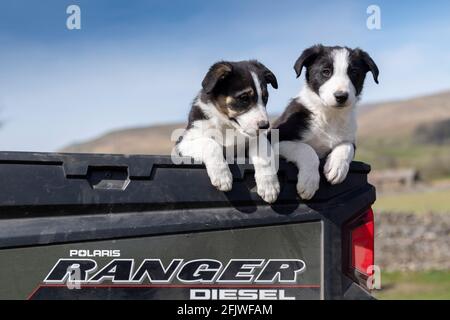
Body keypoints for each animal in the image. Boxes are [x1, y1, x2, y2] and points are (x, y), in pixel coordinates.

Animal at [178, 60, 280, 202]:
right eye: (244, 98)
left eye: (265, 98)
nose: (265, 125)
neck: (228, 126)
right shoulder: (183, 143)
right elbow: (210, 143)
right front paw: (222, 176)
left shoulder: (256, 138)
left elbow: (264, 156)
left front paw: (269, 186)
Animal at [272, 45, 378, 200]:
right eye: (326, 72)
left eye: (353, 72)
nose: (341, 96)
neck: (329, 115)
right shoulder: (276, 139)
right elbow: (306, 148)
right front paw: (309, 182)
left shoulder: (350, 139)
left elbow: (346, 146)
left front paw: (336, 167)